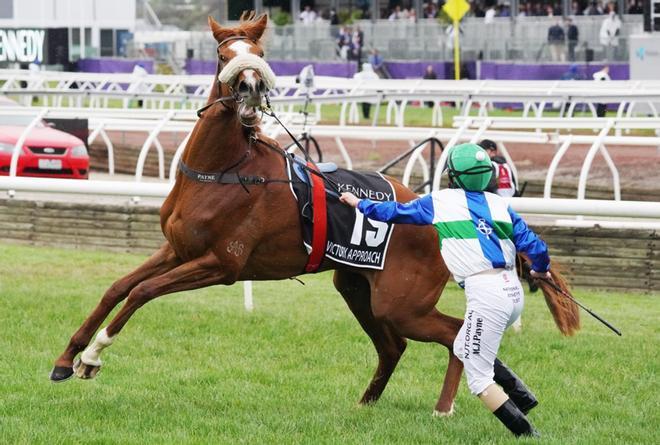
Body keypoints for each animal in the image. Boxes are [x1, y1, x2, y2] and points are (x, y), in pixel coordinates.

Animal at [50, 13, 576, 416]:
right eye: (224, 54)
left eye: (258, 51)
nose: (249, 86)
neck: (222, 170)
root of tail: (438, 210)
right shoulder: (177, 248)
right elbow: (118, 287)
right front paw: (66, 357)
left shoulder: (221, 264)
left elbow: (141, 293)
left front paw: (93, 357)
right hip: (357, 287)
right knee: (396, 346)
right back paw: (369, 403)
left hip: (401, 303)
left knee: (450, 336)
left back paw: (446, 407)